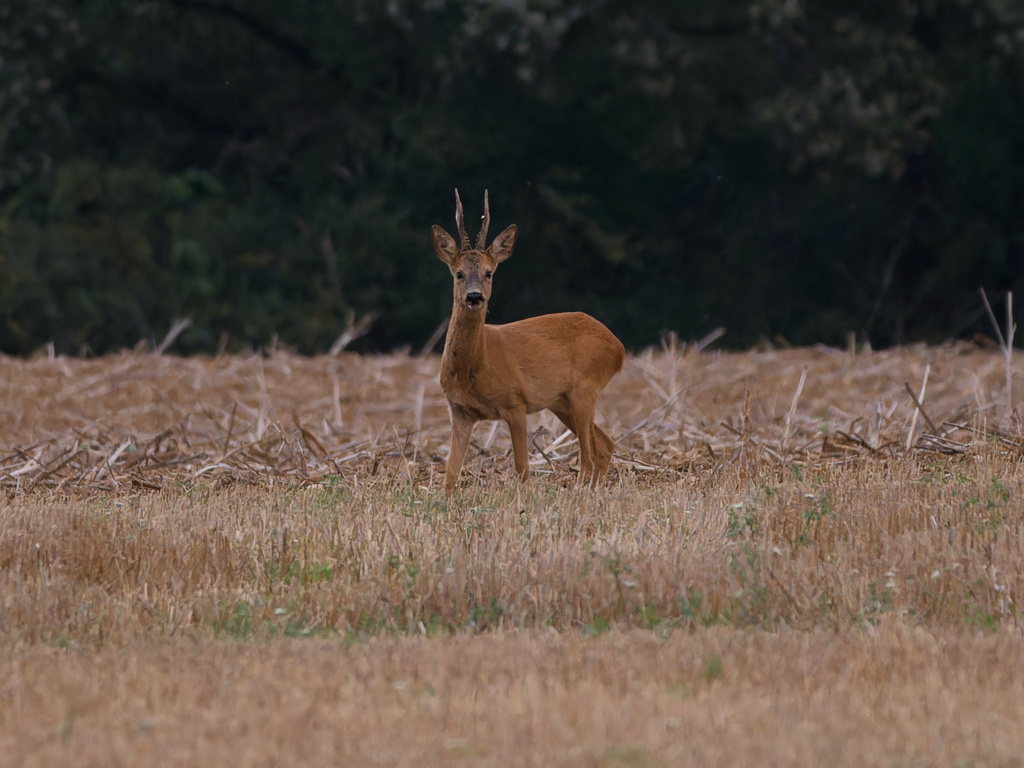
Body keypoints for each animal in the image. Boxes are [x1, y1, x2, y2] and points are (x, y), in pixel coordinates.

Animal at [432, 191, 622, 499]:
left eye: (489, 272)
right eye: (458, 273)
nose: (474, 297)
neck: (474, 366)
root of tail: (619, 348)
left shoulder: (515, 402)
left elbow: (522, 468)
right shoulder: (459, 411)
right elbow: (450, 474)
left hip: (585, 388)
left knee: (589, 456)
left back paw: (581, 494)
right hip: (561, 401)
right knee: (605, 446)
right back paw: (594, 494)